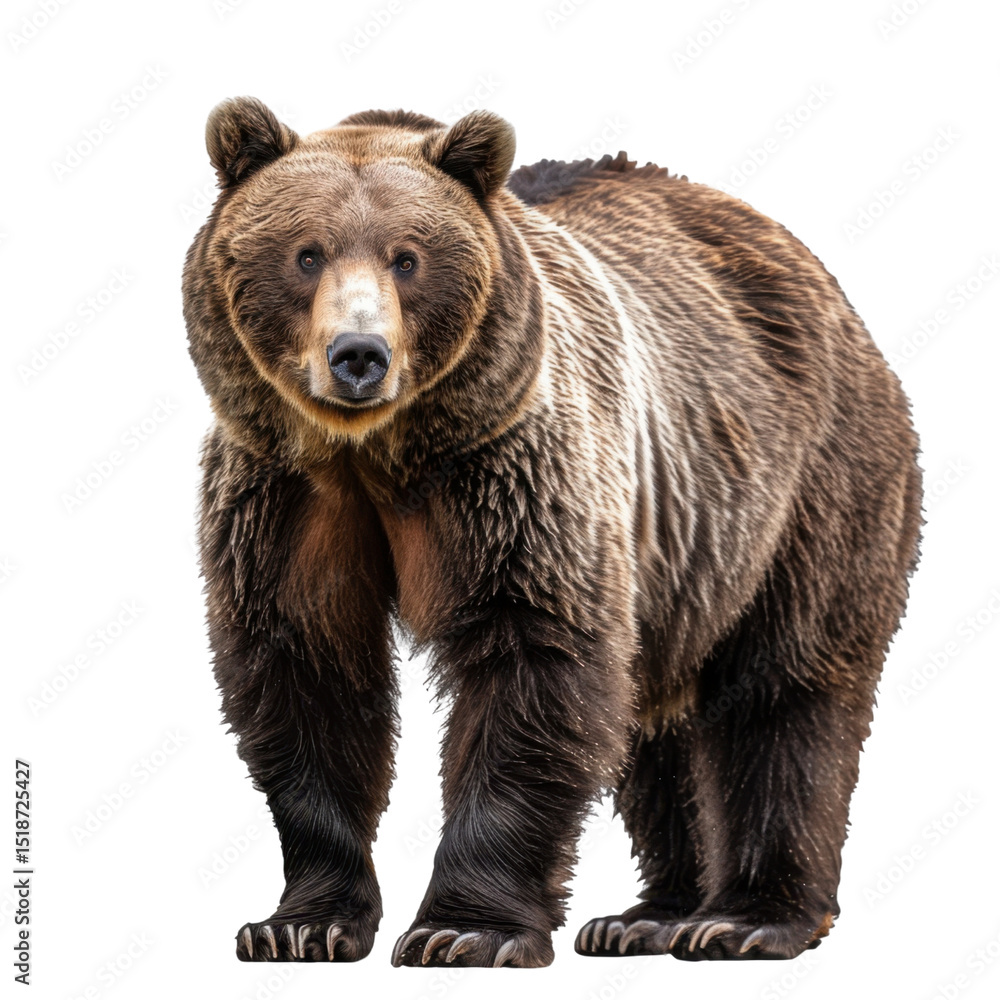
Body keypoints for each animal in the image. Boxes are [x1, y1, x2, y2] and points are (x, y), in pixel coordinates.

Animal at [183, 97, 923, 967]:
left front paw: (464, 929)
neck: (376, 455)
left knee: (784, 692)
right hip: (679, 550)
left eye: (408, 258)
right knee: (654, 726)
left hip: (801, 489)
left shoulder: (514, 472)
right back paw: (646, 916)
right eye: (306, 254)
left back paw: (744, 919)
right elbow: (305, 672)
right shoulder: (286, 499)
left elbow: (532, 664)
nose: (358, 355)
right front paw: (301, 923)